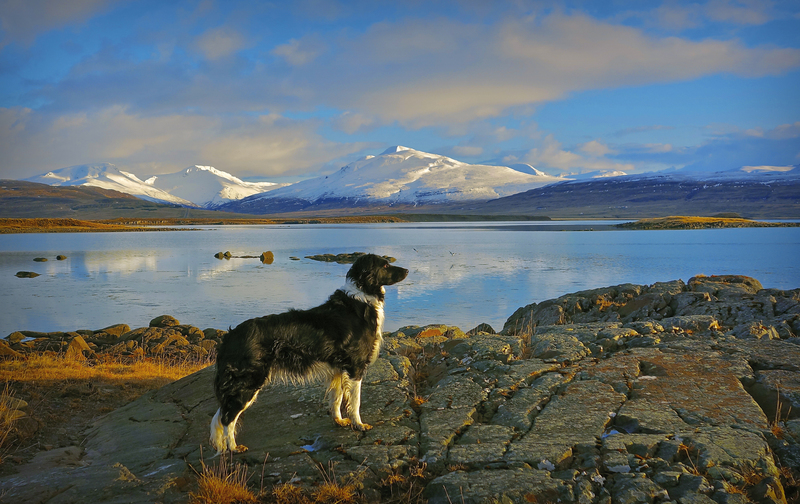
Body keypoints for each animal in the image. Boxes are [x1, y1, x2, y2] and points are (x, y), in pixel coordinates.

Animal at [208, 254, 406, 454]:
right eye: (385, 265)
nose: (407, 271)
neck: (361, 298)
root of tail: (229, 336)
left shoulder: (338, 368)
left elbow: (337, 398)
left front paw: (339, 420)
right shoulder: (355, 367)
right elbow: (355, 400)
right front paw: (359, 424)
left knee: (223, 414)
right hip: (248, 382)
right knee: (227, 418)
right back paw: (233, 447)